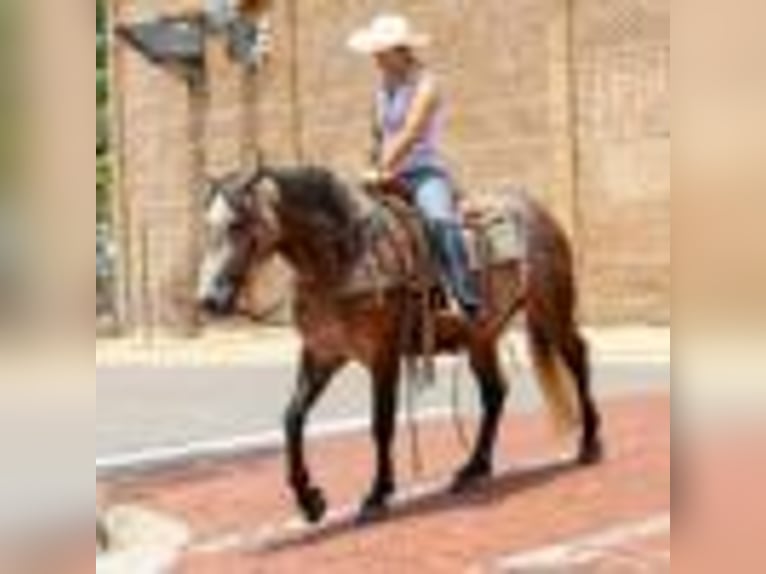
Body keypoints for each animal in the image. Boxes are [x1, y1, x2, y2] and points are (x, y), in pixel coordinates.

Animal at [196, 164, 603, 524]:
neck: (344, 260)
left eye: (238, 223)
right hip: (481, 335)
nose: (209, 300)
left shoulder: (383, 355)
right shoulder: (322, 354)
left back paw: (589, 444)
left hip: (551, 310)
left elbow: (381, 424)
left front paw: (377, 494)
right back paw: (473, 468)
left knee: (577, 357)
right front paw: (309, 500)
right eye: (208, 225)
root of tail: (537, 210)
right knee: (494, 392)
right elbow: (293, 418)